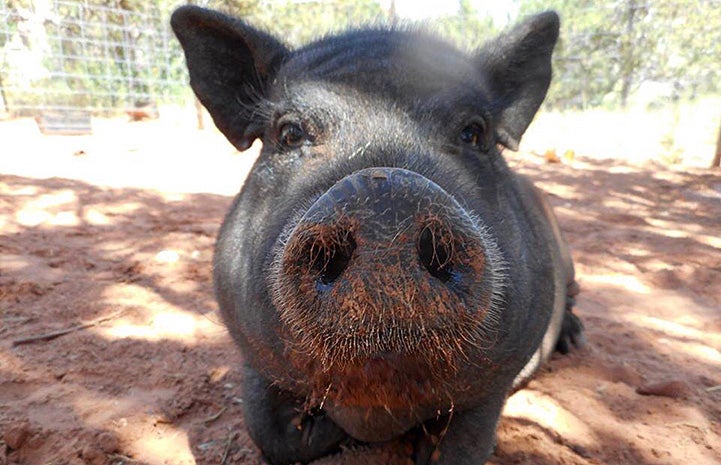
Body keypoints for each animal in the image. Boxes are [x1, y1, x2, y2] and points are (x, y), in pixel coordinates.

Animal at [172, 6, 584, 464]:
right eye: (290, 133)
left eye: (474, 132)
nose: (387, 199)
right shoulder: (252, 353)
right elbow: (268, 431)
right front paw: (326, 430)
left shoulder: (500, 373)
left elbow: (465, 446)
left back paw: (573, 340)